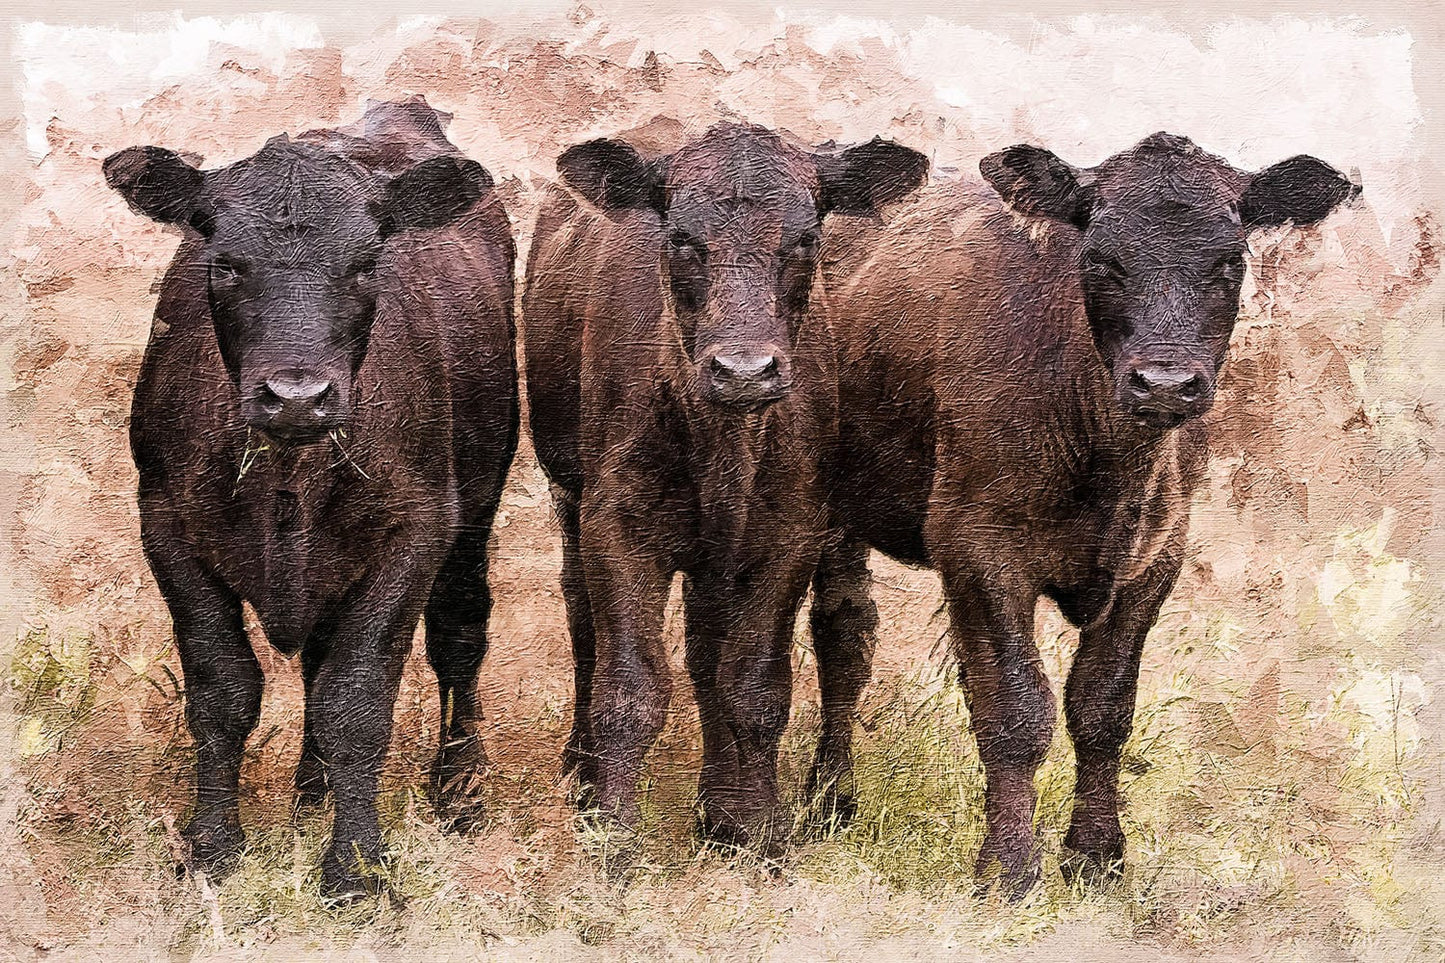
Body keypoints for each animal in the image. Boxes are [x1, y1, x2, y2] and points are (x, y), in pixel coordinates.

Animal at [103, 96, 519, 898]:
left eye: (365, 264)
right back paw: (311, 791)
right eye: (225, 263)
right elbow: (223, 690)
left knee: (460, 635)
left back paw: (459, 789)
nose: (297, 395)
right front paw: (211, 847)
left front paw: (355, 865)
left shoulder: (416, 528)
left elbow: (355, 700)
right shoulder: (165, 523)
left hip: (475, 511)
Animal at [522, 123, 928, 856]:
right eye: (681, 237)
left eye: (805, 238)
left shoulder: (791, 532)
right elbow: (629, 689)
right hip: (567, 491)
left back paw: (787, 802)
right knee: (582, 617)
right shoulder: (615, 525)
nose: (743, 370)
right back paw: (583, 767)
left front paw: (757, 826)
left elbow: (754, 686)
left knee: (829, 632)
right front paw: (611, 835)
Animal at [814, 132, 1357, 893]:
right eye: (1100, 259)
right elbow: (1016, 708)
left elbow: (1102, 707)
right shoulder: (976, 545)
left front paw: (1097, 853)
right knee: (843, 636)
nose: (1165, 383)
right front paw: (1008, 866)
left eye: (1229, 259)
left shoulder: (1156, 556)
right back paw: (829, 801)